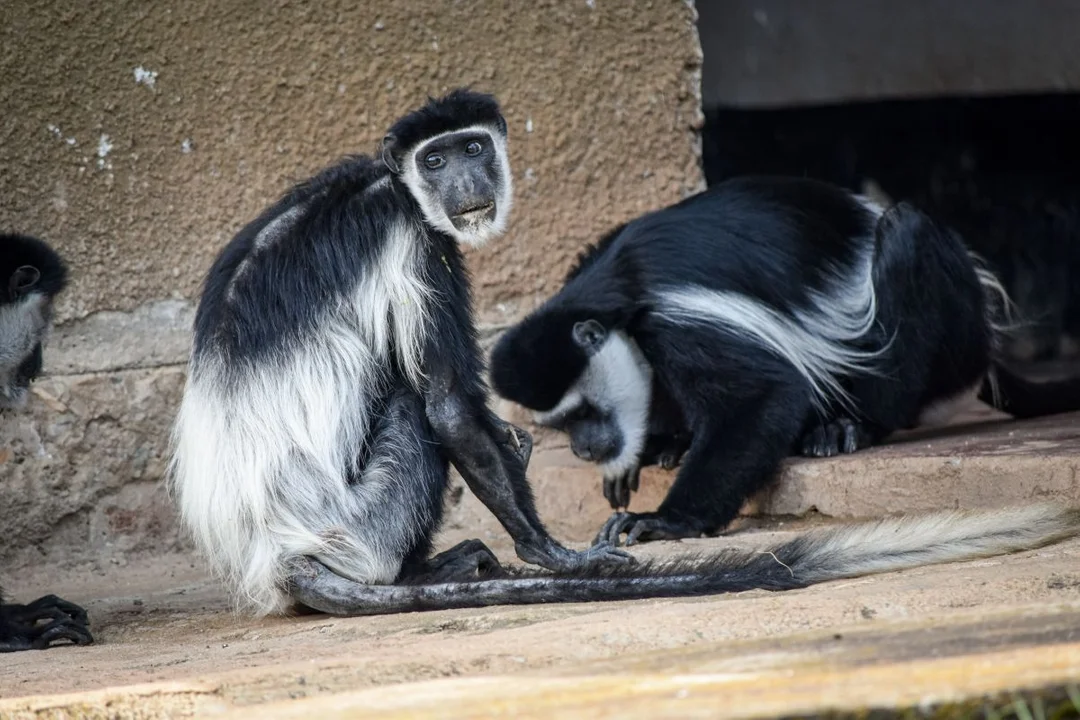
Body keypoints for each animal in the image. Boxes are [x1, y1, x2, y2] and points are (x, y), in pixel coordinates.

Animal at [490, 179, 1080, 546]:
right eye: (562, 424)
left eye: (582, 414)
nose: (584, 449)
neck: (612, 294)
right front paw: (653, 449)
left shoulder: (679, 323)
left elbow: (762, 397)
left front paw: (666, 521)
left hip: (953, 330)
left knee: (904, 234)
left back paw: (849, 427)